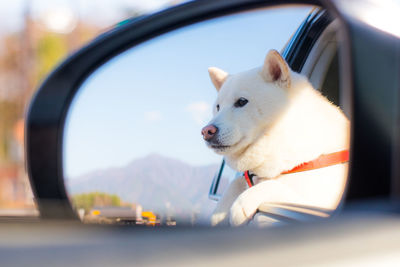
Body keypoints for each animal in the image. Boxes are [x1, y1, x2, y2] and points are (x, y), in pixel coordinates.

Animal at [202, 49, 348, 226]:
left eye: (242, 102)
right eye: (218, 107)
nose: (206, 131)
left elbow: (273, 185)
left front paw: (240, 205)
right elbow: (236, 183)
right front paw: (219, 213)